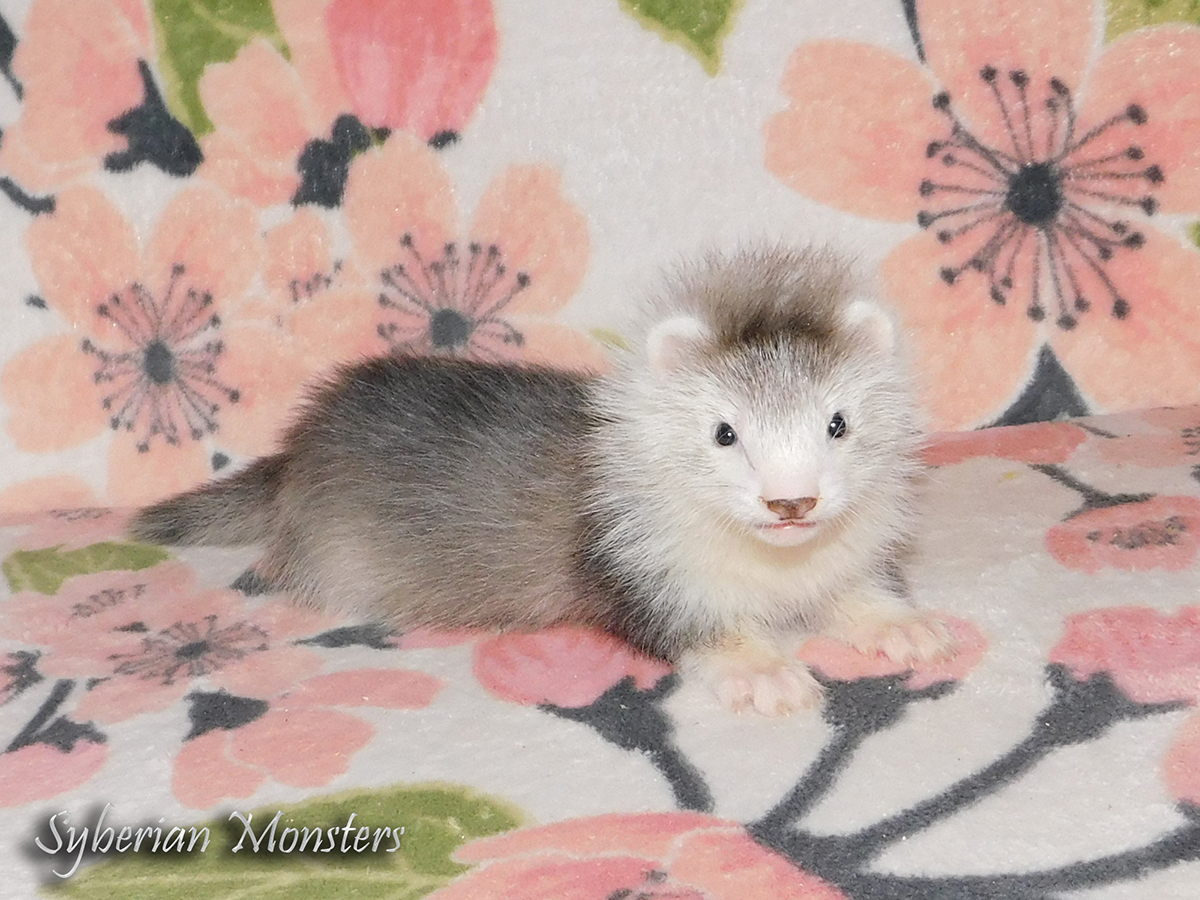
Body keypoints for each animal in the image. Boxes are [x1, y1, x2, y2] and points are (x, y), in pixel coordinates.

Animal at [130, 246, 955, 716]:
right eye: (725, 431)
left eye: (837, 422)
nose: (792, 500)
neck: (776, 580)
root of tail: (297, 443)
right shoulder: (638, 574)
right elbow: (695, 630)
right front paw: (764, 672)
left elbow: (858, 591)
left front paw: (899, 626)